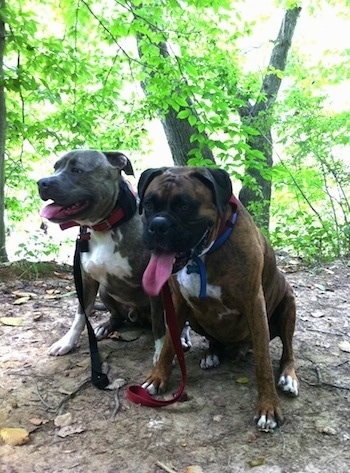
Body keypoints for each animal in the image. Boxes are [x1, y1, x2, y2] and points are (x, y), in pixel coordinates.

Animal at [38, 150, 186, 362]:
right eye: (55, 168)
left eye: (77, 170)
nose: (41, 182)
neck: (104, 227)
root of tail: (137, 316)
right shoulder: (87, 281)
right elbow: (80, 315)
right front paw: (67, 341)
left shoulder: (155, 286)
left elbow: (159, 325)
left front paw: (160, 354)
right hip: (105, 291)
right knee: (116, 315)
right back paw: (106, 326)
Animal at [138, 166, 300, 432]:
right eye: (149, 204)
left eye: (184, 206)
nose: (157, 226)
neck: (203, 255)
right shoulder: (178, 303)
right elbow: (170, 343)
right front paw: (157, 377)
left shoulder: (255, 304)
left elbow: (264, 363)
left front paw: (268, 407)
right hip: (195, 318)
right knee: (215, 339)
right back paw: (212, 354)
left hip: (287, 305)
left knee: (288, 351)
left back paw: (288, 376)